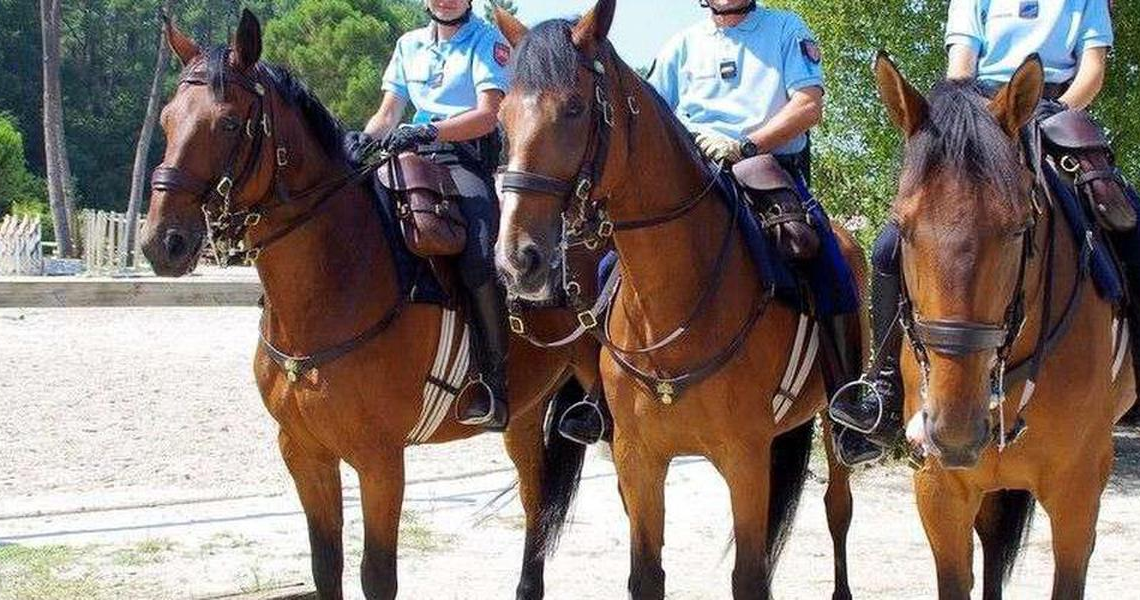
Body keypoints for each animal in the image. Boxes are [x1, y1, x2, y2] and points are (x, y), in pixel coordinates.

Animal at [140, 11, 600, 600]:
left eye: (226, 123)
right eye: (167, 119)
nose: (163, 241)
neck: (331, 287)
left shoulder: (380, 461)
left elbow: (377, 574)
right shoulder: (304, 452)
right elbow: (325, 565)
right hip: (523, 412)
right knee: (536, 498)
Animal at [491, 2, 865, 598]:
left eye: (573, 107)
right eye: (502, 117)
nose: (517, 259)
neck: (673, 302)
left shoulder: (744, 460)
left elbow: (748, 576)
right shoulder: (638, 460)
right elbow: (647, 573)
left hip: (833, 428)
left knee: (838, 507)